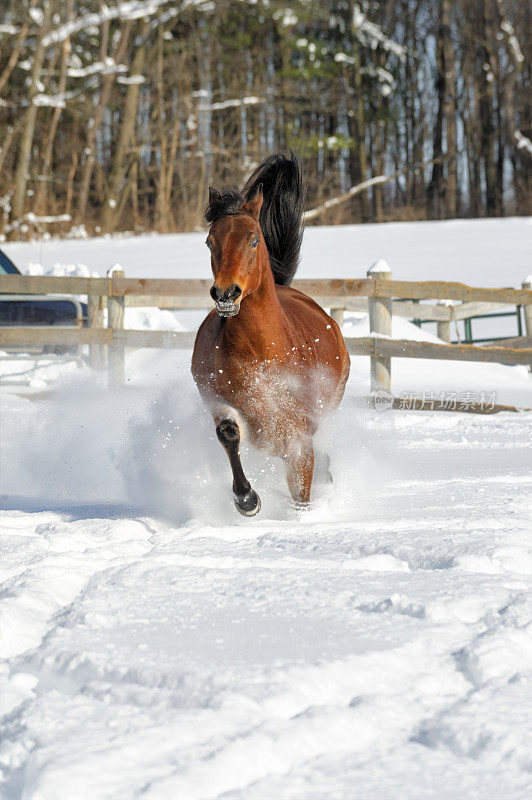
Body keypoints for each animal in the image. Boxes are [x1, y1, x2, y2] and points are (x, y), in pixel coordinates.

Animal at [191, 155, 350, 520]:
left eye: (253, 239)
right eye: (209, 241)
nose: (226, 294)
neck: (260, 349)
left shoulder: (299, 431)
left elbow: (301, 482)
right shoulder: (217, 400)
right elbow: (229, 433)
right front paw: (247, 499)